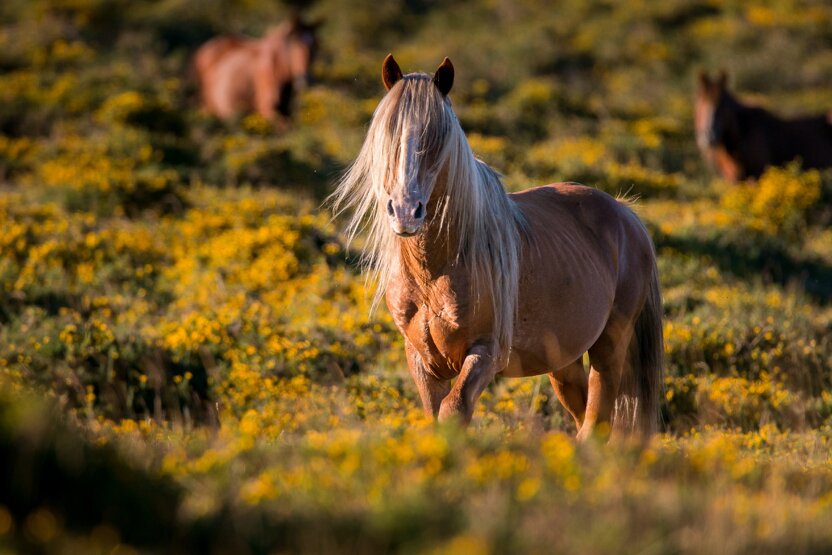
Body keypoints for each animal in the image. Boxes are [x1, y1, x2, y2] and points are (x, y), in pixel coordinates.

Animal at [331, 55, 664, 439]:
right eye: (389, 134)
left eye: (437, 137)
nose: (405, 210)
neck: (437, 269)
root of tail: (626, 215)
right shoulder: (422, 360)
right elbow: (435, 414)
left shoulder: (485, 353)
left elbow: (453, 410)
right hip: (564, 361)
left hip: (609, 347)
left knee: (597, 420)